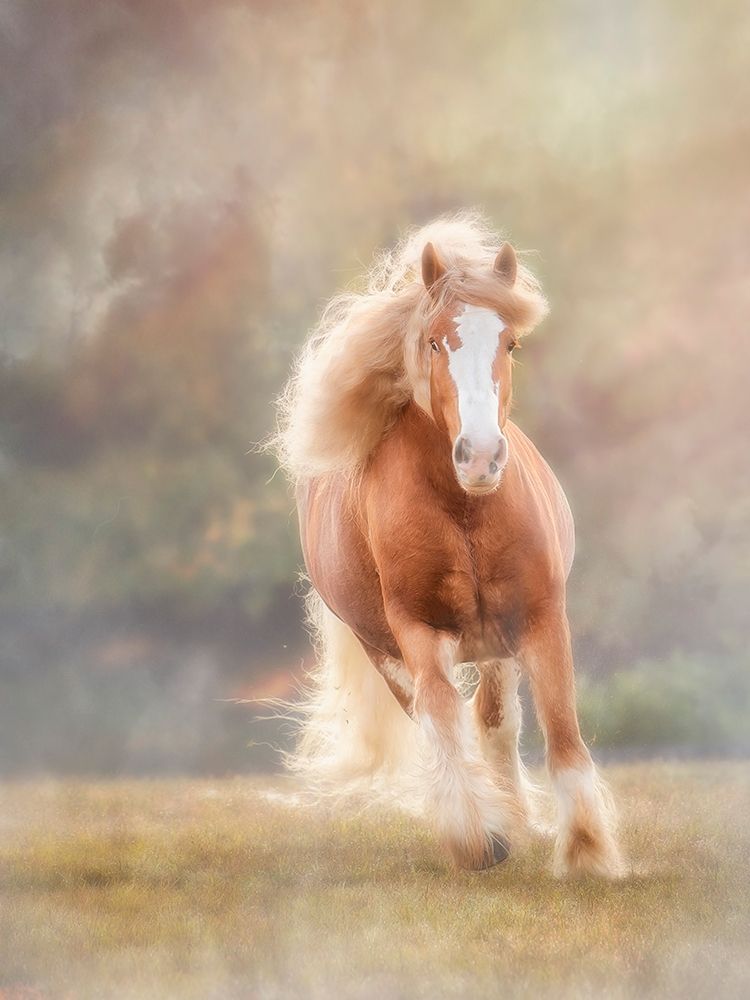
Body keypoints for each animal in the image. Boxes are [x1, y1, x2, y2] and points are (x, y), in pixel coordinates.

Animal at [273, 213, 624, 878]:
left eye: (510, 344)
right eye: (436, 342)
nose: (481, 457)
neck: (464, 508)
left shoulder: (540, 618)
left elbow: (561, 729)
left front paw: (587, 854)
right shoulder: (417, 630)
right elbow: (441, 718)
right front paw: (480, 840)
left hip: (494, 644)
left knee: (496, 722)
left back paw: (518, 814)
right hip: (386, 649)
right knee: (438, 719)